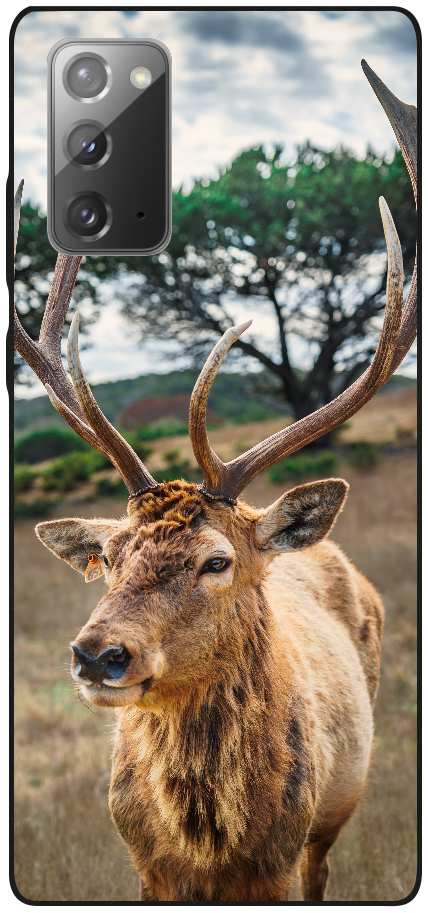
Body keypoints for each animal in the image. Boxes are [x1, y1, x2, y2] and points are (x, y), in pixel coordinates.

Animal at [14, 61, 416, 902]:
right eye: (110, 556)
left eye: (216, 559)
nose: (98, 654)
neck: (208, 845)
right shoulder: (144, 866)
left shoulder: (283, 859)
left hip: (337, 811)